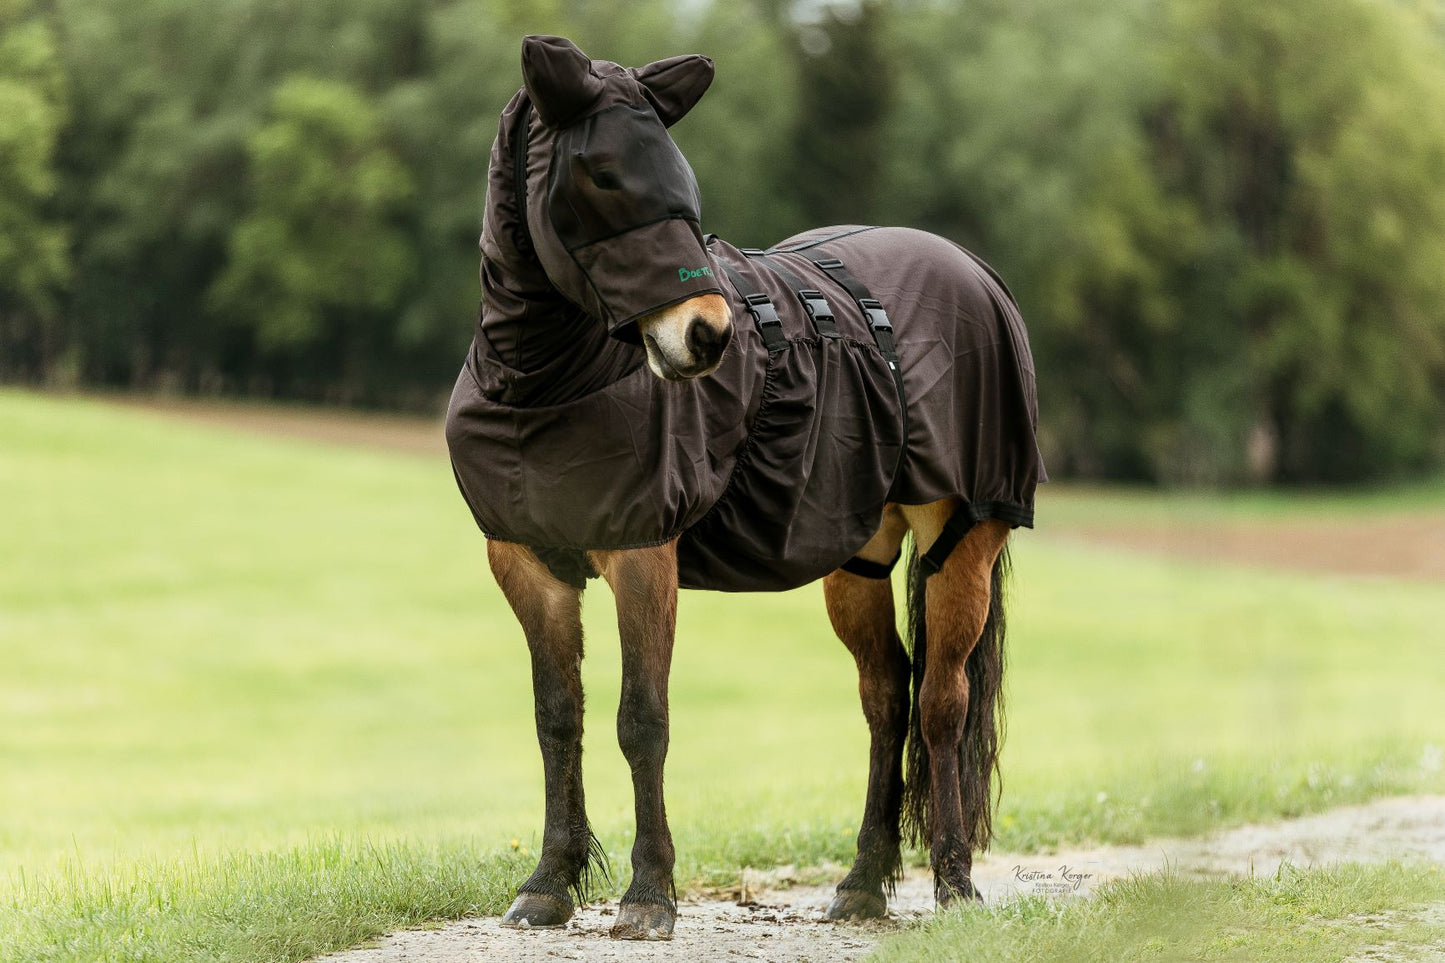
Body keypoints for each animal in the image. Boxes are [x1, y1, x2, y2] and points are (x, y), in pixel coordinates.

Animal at [445, 35, 1046, 936]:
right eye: (602, 175)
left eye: (679, 176)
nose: (707, 335)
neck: (543, 387)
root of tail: (970, 269)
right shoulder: (526, 562)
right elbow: (559, 718)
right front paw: (547, 884)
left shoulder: (643, 556)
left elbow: (641, 720)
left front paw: (647, 894)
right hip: (856, 558)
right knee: (886, 697)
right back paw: (861, 882)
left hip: (963, 539)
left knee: (943, 700)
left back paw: (952, 883)